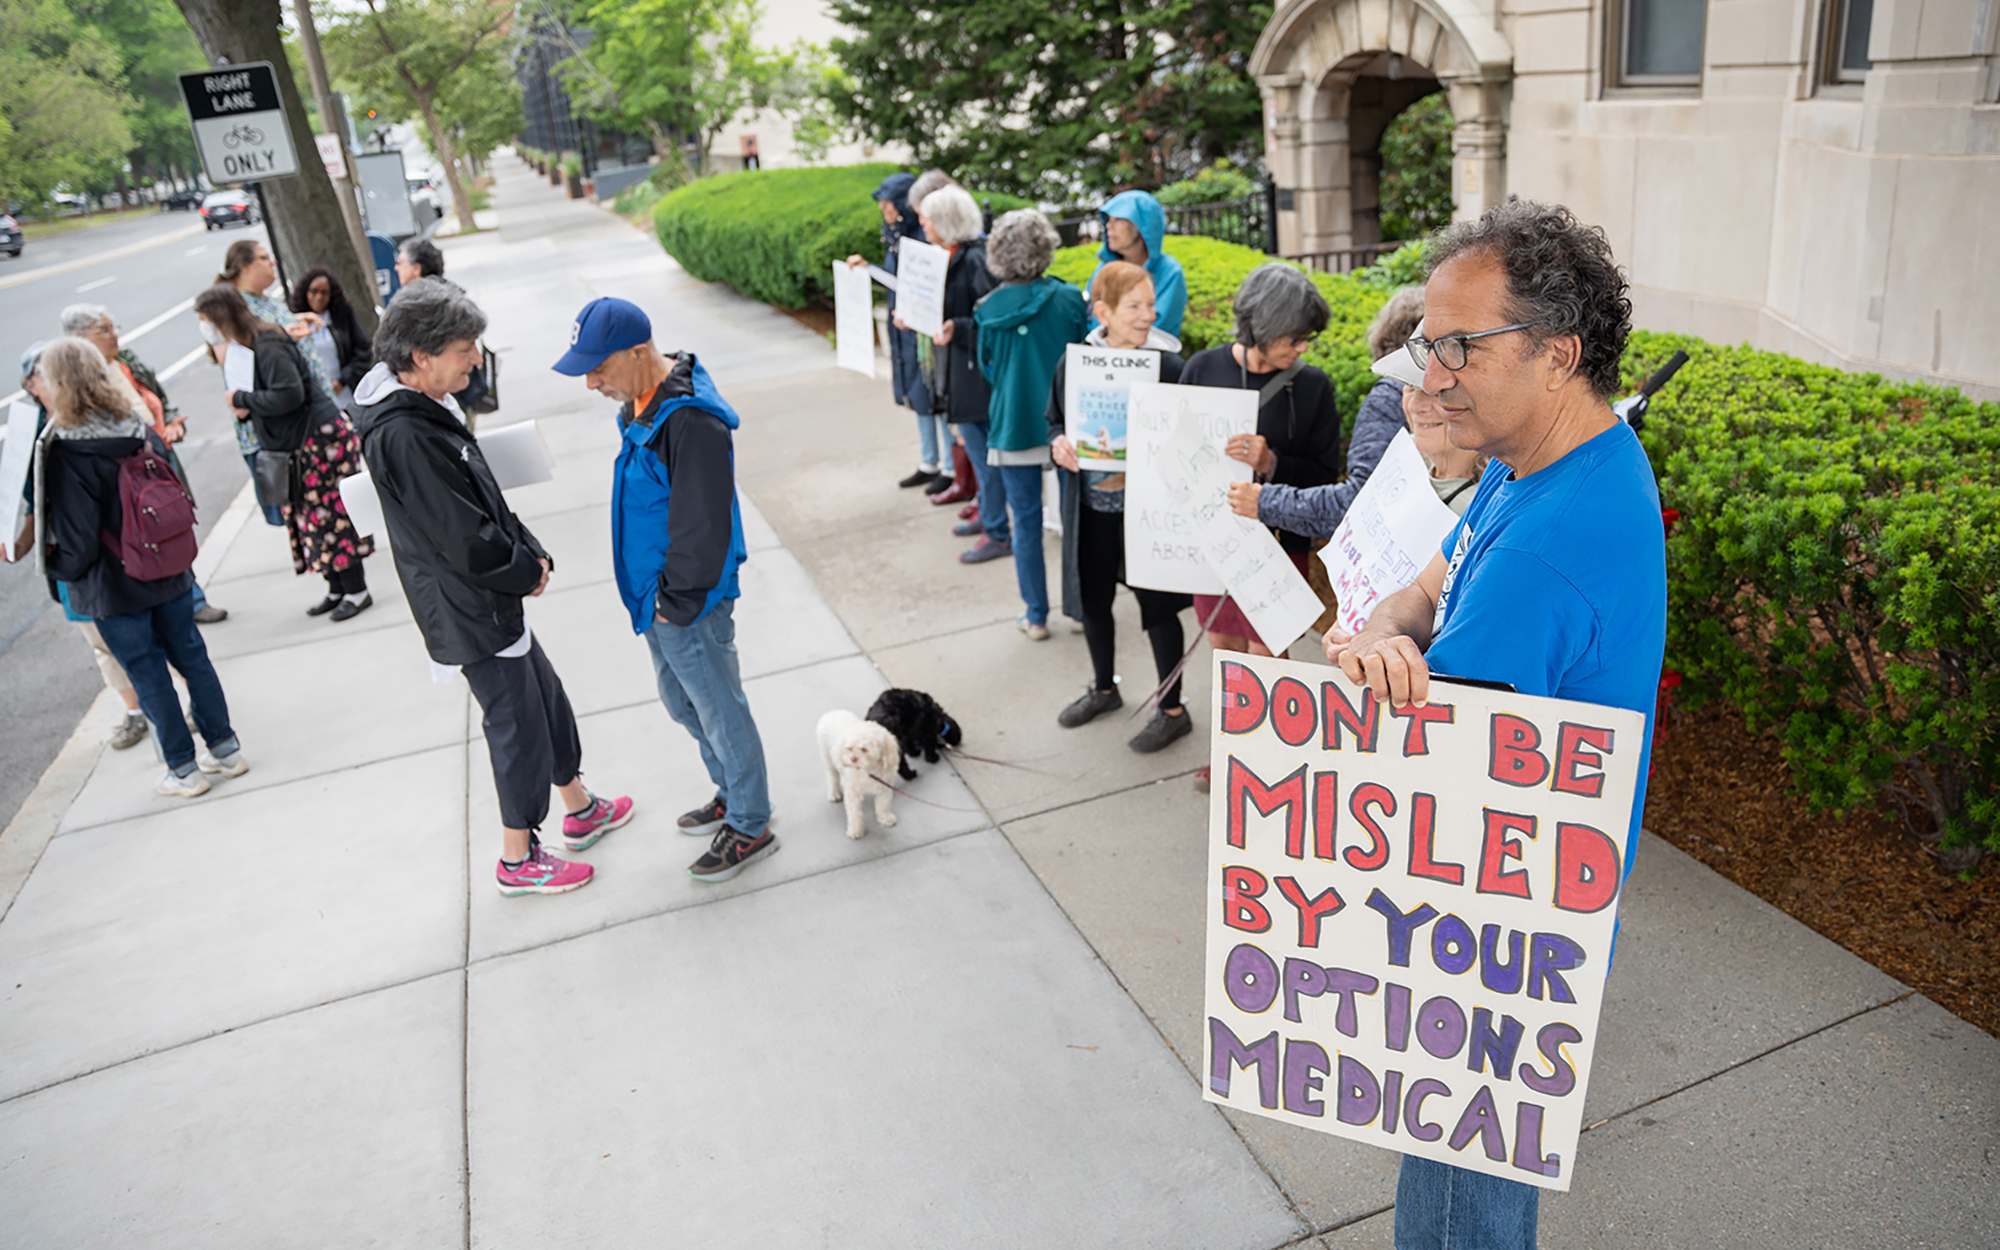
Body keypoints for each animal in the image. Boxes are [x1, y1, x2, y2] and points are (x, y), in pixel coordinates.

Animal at [816, 712, 904, 840]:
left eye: (864, 749)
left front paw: (885, 818)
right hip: (827, 756)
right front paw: (855, 830)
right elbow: (854, 813)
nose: (852, 759)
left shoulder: (884, 788)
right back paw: (834, 792)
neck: (869, 771)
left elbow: (883, 805)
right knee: (832, 775)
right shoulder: (853, 793)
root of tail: (832, 712)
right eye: (849, 748)